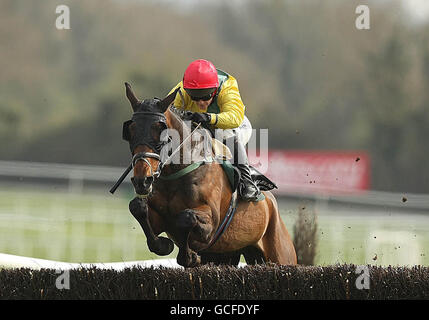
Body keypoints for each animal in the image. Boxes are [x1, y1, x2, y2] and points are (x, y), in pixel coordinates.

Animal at [115, 82, 296, 268]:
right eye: (131, 130)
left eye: (161, 130)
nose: (142, 180)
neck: (176, 175)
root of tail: (272, 203)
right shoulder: (159, 219)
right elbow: (137, 207)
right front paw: (164, 245)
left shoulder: (211, 225)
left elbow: (186, 217)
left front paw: (189, 256)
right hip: (226, 255)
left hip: (281, 255)